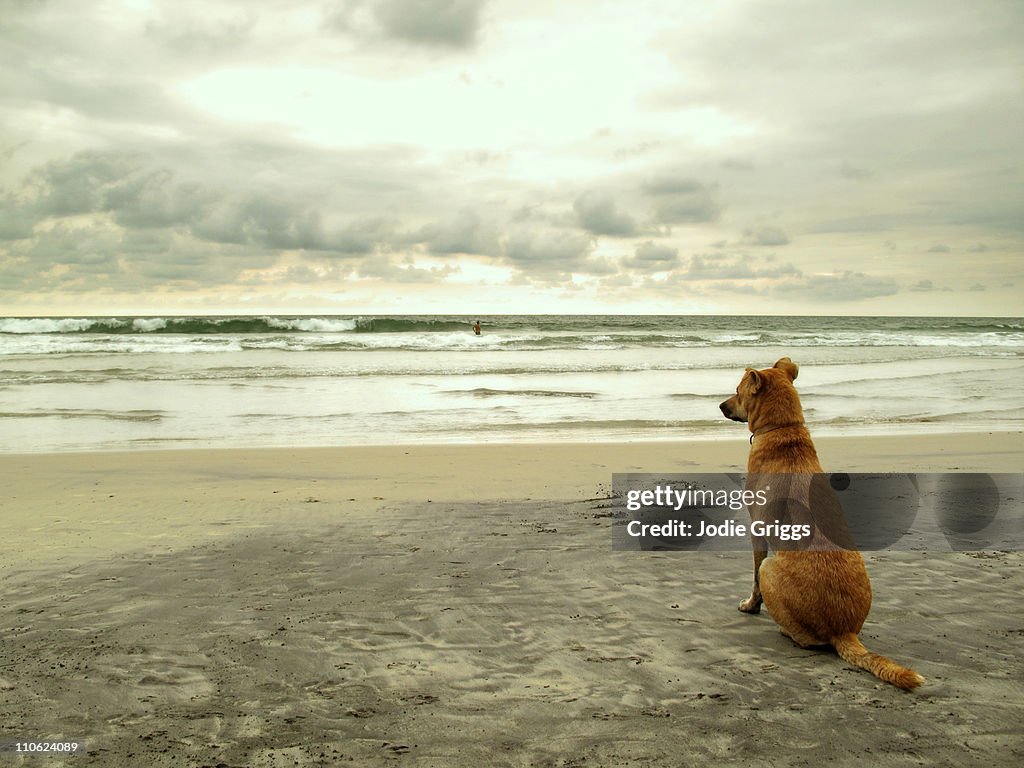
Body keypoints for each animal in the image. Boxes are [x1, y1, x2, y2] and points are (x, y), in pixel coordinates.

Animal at [716, 360, 925, 692]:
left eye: (737, 391)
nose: (721, 405)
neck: (784, 428)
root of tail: (843, 630)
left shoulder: (757, 529)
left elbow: (753, 579)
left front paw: (751, 605)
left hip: (771, 570)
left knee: (805, 635)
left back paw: (787, 630)